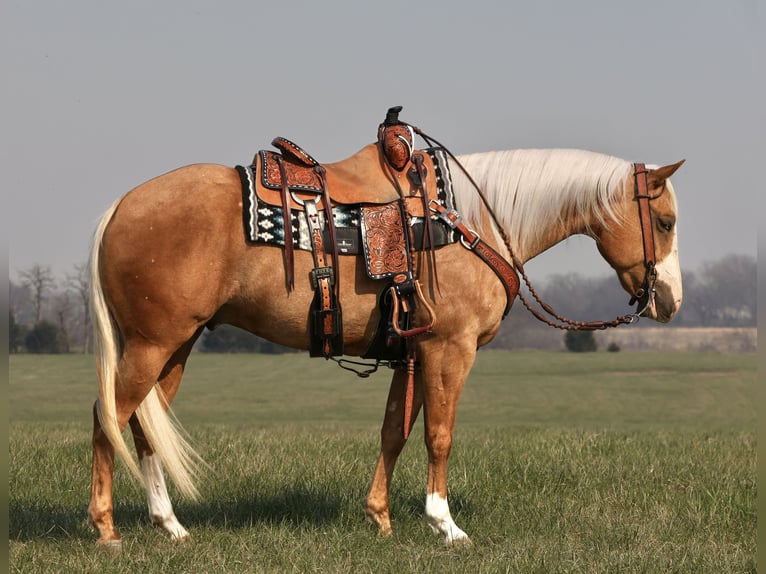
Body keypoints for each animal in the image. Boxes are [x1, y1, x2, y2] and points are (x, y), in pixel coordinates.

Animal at [87, 138, 688, 548]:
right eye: (664, 221)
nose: (670, 301)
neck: (472, 222)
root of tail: (120, 206)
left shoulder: (412, 354)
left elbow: (394, 432)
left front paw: (380, 517)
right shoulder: (450, 349)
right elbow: (439, 436)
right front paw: (446, 525)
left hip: (175, 347)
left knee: (143, 426)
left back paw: (170, 526)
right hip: (151, 346)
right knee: (109, 416)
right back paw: (107, 529)